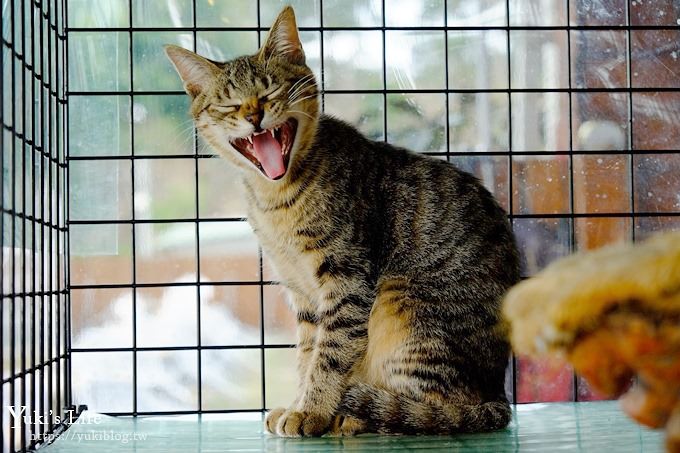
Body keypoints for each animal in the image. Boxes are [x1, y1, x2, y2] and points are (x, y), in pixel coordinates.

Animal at [166, 5, 520, 436]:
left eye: (269, 91)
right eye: (230, 104)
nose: (254, 114)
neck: (276, 200)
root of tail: (499, 394)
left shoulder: (347, 278)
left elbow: (330, 352)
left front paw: (311, 410)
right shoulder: (301, 293)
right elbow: (307, 352)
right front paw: (300, 402)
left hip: (403, 305)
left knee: (439, 411)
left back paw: (361, 415)